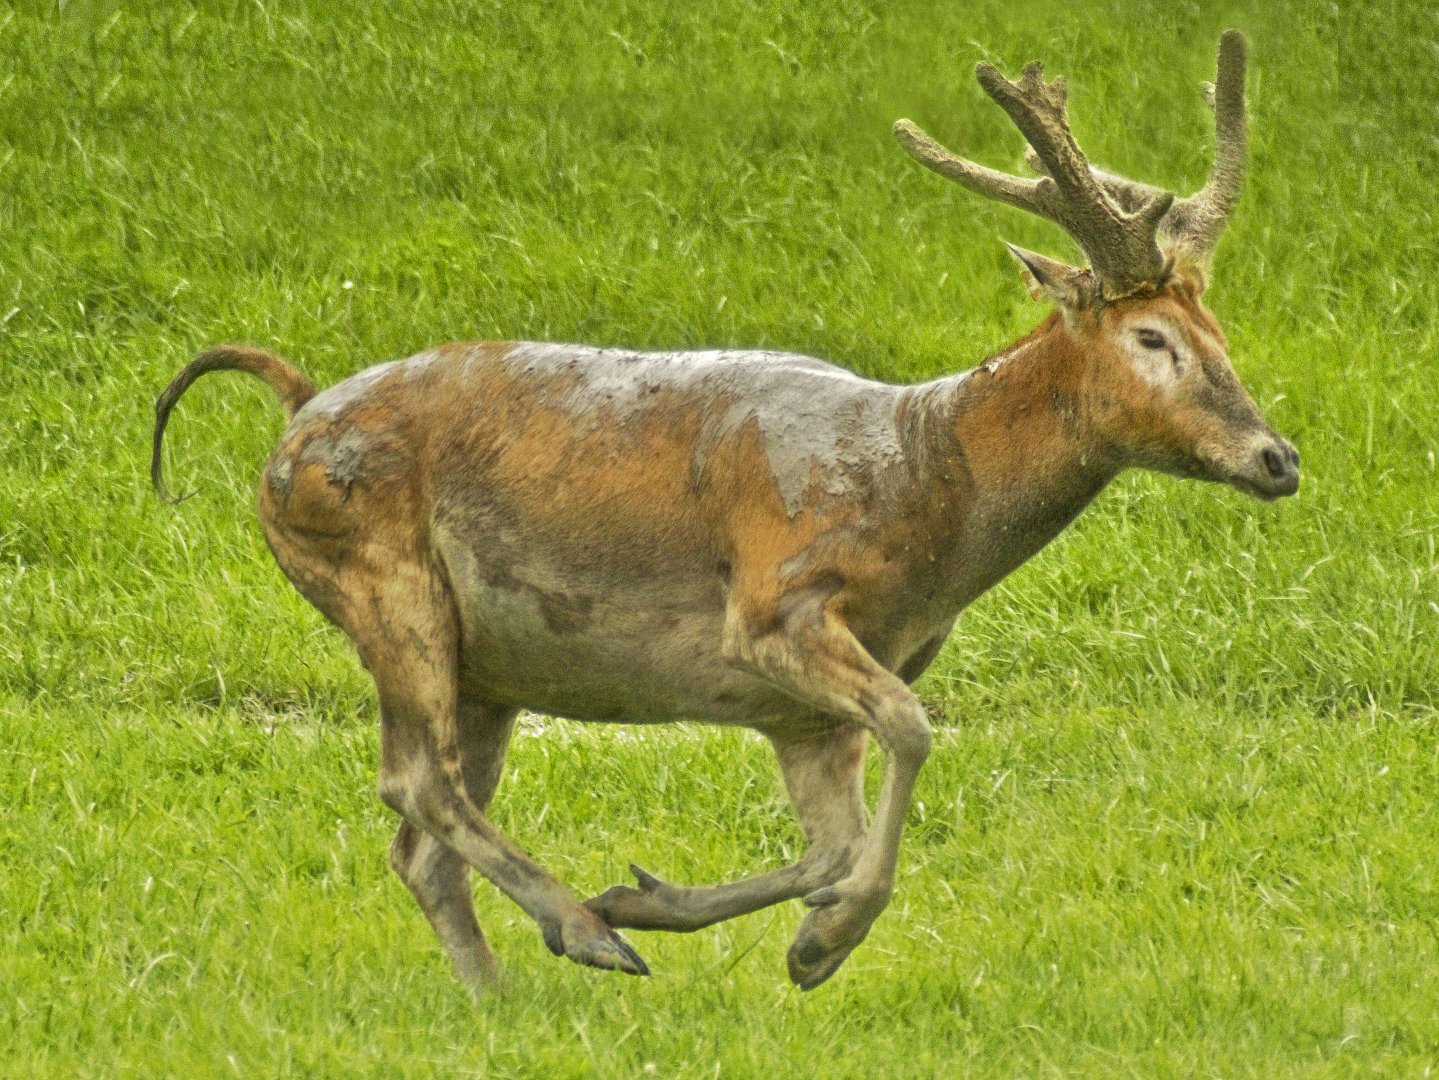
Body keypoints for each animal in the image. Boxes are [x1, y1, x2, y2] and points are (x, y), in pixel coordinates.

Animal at [151, 31, 1297, 994]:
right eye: (1150, 337)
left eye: (1220, 330)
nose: (1276, 457)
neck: (922, 493)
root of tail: (294, 418)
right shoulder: (774, 603)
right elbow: (912, 729)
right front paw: (817, 940)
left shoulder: (804, 711)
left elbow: (834, 835)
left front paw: (731, 918)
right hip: (382, 582)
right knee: (416, 785)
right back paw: (581, 934)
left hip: (487, 667)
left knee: (420, 837)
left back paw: (502, 994)